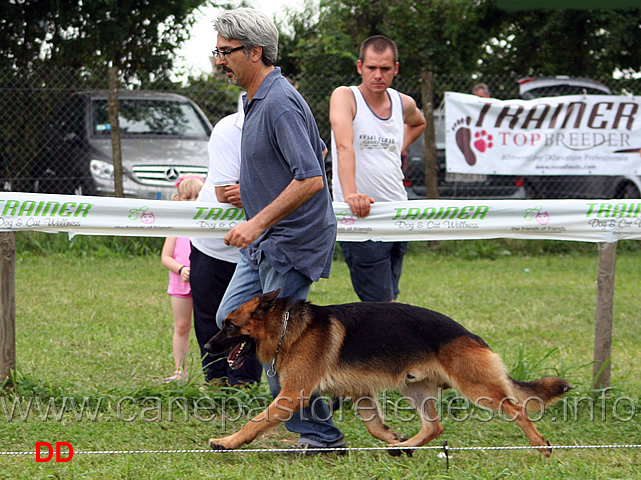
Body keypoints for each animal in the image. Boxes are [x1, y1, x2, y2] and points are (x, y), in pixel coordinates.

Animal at [205, 290, 568, 456]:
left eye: (229, 326)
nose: (208, 346)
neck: (286, 328)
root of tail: (471, 335)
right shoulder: (361, 394)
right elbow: (375, 426)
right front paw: (394, 438)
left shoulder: (291, 395)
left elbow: (256, 421)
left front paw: (227, 442)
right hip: (414, 389)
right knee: (434, 426)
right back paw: (406, 445)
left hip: (476, 387)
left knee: (517, 409)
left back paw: (541, 445)